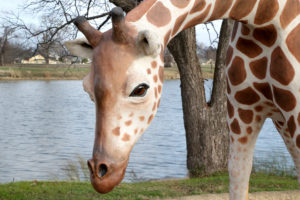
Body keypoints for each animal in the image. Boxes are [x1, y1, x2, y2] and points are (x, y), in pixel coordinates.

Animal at [63, 0, 300, 198]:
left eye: (140, 89)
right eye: (87, 90)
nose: (100, 174)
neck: (263, 16)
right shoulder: (243, 114)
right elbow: (238, 179)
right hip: (281, 121)